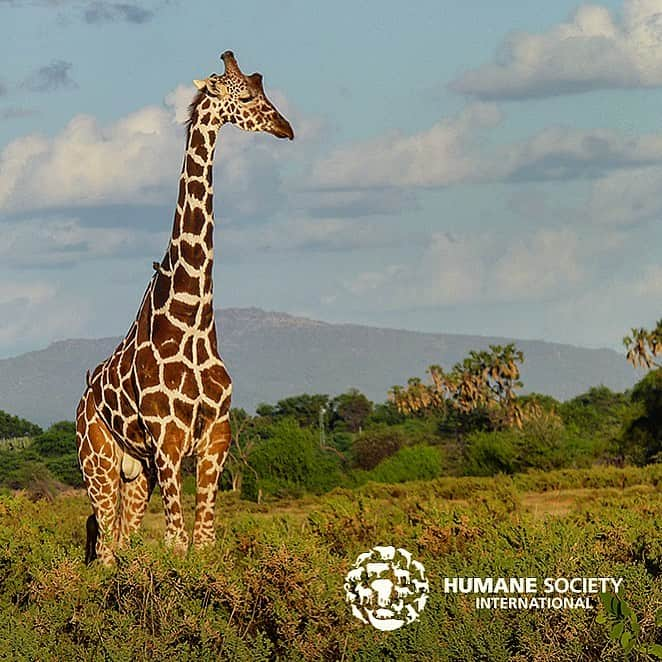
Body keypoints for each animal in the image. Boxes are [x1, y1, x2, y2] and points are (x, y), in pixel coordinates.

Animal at [76, 50, 296, 564]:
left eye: (262, 88)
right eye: (244, 96)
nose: (286, 128)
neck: (192, 321)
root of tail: (79, 403)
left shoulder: (216, 435)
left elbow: (205, 540)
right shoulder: (168, 440)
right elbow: (177, 544)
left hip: (137, 473)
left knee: (121, 540)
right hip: (98, 464)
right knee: (105, 549)